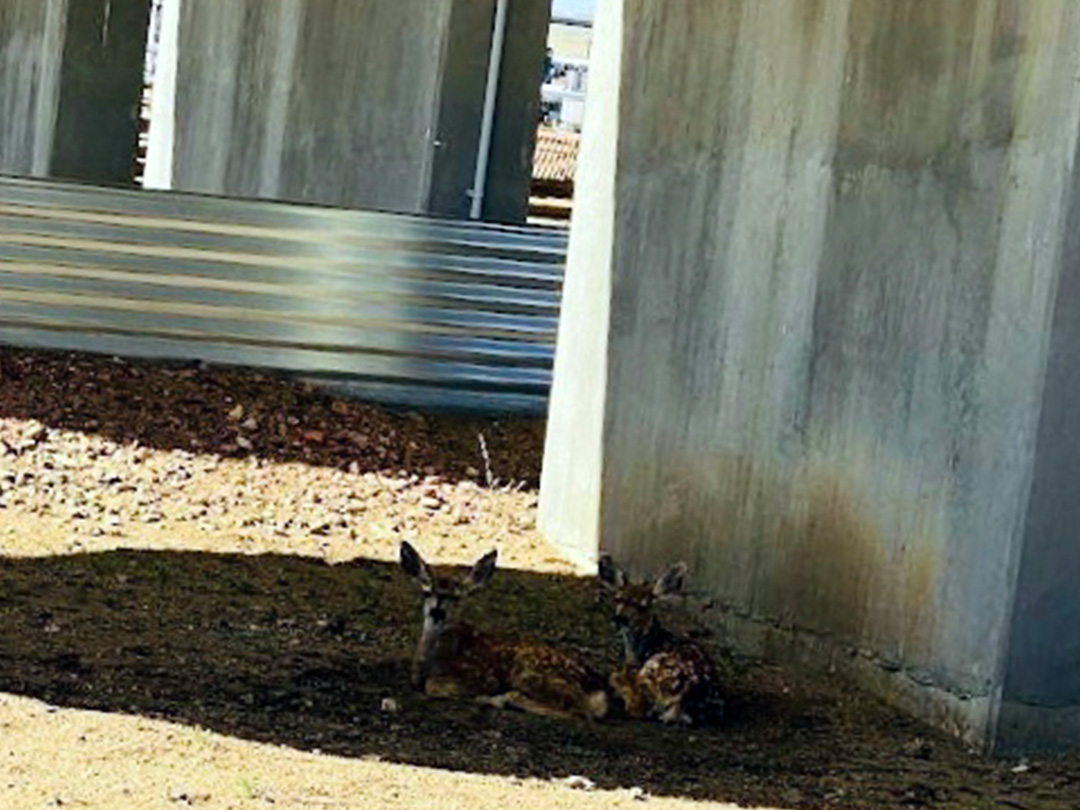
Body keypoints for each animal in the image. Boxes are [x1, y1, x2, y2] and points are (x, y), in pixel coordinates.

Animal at [399, 541, 609, 721]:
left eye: (456, 597)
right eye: (426, 592)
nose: (437, 612)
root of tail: (599, 691)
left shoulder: (483, 676)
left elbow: (432, 685)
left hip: (529, 672)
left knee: (579, 713)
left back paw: (502, 699)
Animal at [597, 555, 721, 726]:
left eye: (643, 606)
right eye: (618, 599)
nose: (620, 619)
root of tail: (680, 703)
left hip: (653, 669)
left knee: (638, 708)